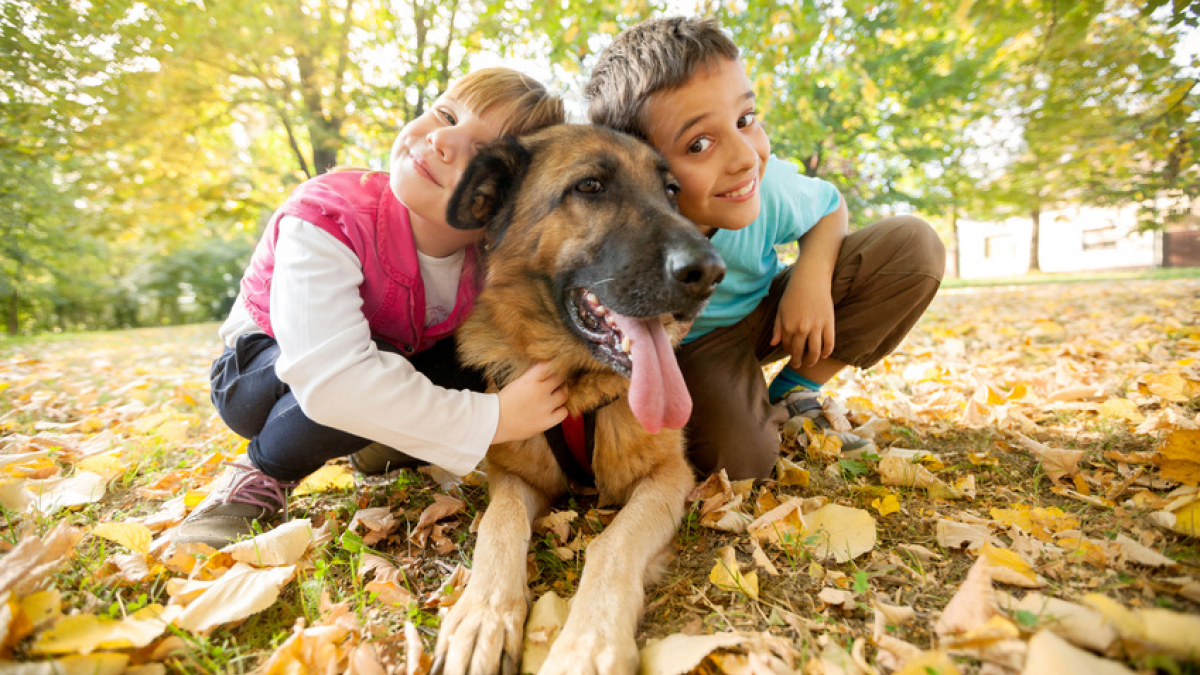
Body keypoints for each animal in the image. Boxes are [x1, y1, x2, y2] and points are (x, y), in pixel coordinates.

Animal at [434, 123, 724, 667]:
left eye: (671, 191)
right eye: (590, 187)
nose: (712, 273)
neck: (576, 390)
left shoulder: (669, 476)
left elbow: (610, 545)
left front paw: (588, 645)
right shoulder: (512, 476)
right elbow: (498, 525)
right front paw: (482, 617)